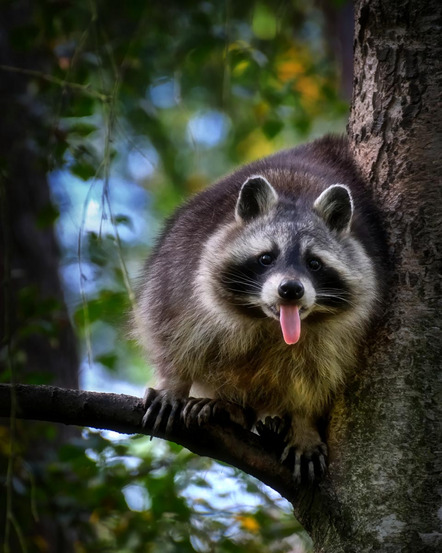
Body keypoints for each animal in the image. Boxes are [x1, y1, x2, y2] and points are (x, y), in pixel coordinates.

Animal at [133, 135, 386, 478]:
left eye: (314, 263)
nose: (291, 290)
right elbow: (170, 331)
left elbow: (320, 377)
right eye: (266, 258)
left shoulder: (344, 334)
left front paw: (304, 424)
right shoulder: (178, 270)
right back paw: (232, 409)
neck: (268, 324)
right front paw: (174, 384)